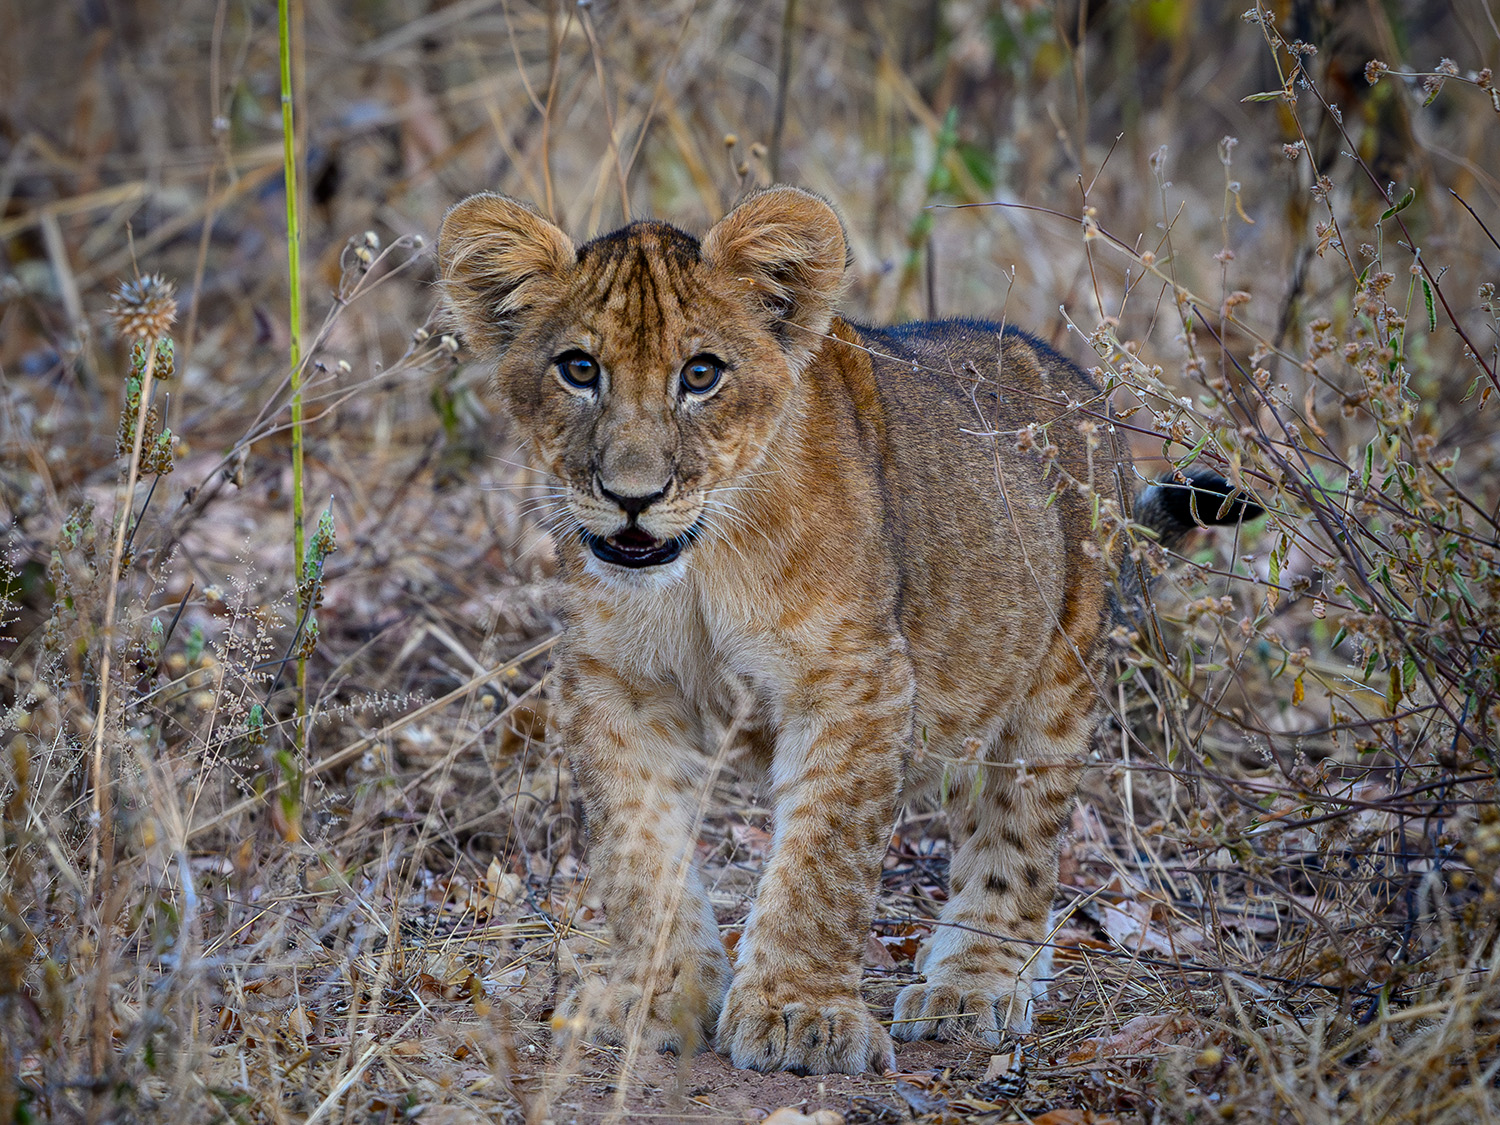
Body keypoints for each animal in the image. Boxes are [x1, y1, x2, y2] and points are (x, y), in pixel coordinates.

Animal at [438, 186, 1258, 1075]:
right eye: (580, 369)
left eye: (701, 374)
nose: (633, 496)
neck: (697, 569)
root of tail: (1085, 389)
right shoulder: (617, 686)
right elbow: (641, 853)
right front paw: (659, 998)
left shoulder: (855, 680)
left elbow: (822, 860)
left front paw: (800, 1014)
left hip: (1056, 677)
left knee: (1018, 835)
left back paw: (973, 983)